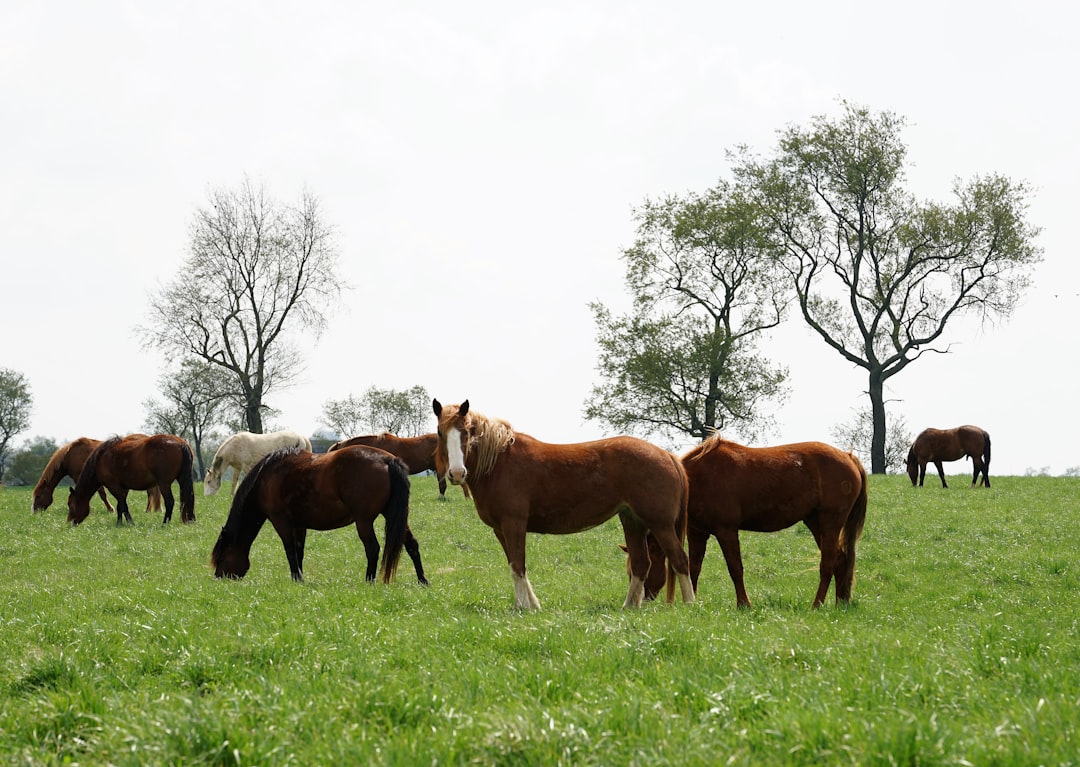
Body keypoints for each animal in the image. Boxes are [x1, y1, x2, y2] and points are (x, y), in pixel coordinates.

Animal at [32, 436, 162, 514]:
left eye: (38, 496)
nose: (34, 512)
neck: (70, 456)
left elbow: (102, 494)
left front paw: (111, 509)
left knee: (151, 492)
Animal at [67, 434, 196, 526]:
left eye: (70, 504)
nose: (70, 522)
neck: (100, 459)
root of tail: (181, 443)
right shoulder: (123, 487)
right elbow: (120, 505)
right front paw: (119, 523)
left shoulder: (113, 486)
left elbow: (123, 505)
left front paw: (130, 523)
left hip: (164, 484)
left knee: (170, 501)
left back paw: (164, 523)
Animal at [210, 445, 428, 585]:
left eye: (221, 557)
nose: (219, 578)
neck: (266, 478)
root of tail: (387, 460)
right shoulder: (299, 525)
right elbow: (299, 551)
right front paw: (299, 578)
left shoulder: (281, 521)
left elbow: (289, 551)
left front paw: (296, 579)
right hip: (395, 517)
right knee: (412, 544)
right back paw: (422, 580)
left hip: (364, 521)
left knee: (372, 548)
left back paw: (369, 581)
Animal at [432, 398, 695, 610]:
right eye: (440, 433)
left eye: (467, 433)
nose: (457, 473)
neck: (498, 462)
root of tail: (668, 456)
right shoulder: (500, 529)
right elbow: (514, 565)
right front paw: (530, 605)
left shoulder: (513, 524)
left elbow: (518, 565)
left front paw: (523, 608)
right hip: (633, 520)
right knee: (641, 563)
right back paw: (629, 607)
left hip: (660, 524)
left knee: (680, 559)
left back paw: (690, 604)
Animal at [625, 435, 868, 609]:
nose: (644, 599)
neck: (697, 478)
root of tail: (848, 457)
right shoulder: (697, 533)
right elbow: (694, 568)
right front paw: (692, 602)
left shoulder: (726, 531)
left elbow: (735, 569)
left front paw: (743, 604)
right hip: (816, 522)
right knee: (840, 561)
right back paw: (841, 602)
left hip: (830, 521)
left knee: (827, 564)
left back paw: (817, 604)